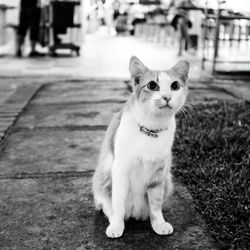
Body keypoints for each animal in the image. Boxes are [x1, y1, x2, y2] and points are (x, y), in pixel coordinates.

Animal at [92, 56, 189, 238]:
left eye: (175, 86)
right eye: (152, 85)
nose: (167, 97)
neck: (150, 130)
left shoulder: (159, 173)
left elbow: (156, 205)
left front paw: (159, 224)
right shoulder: (120, 171)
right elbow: (118, 204)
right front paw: (116, 225)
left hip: (167, 179)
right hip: (102, 179)